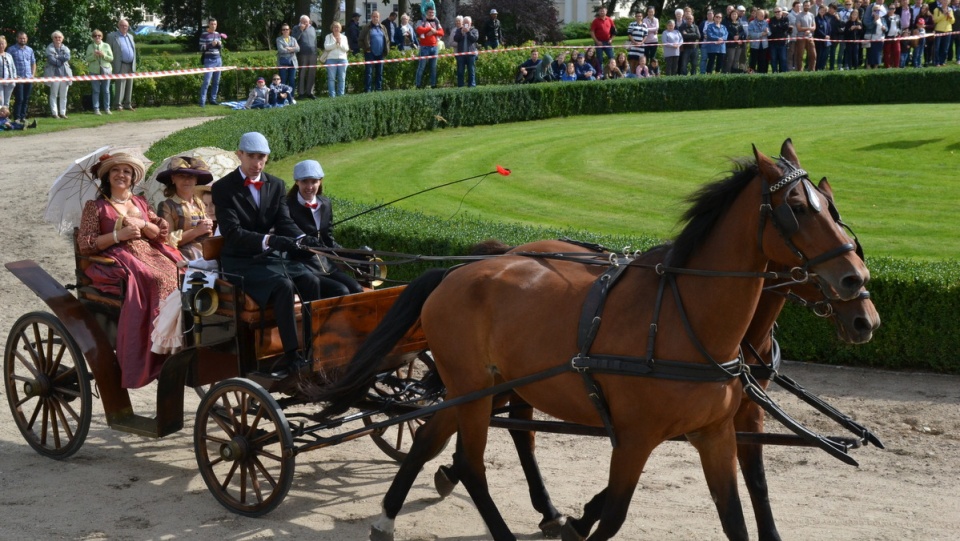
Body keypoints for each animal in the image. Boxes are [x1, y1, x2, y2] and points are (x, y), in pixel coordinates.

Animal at [316, 141, 872, 536]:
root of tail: (453, 272)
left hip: (477, 385)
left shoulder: (719, 431)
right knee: (472, 463)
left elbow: (739, 510)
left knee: (434, 436)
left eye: (833, 209)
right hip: (474, 388)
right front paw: (582, 519)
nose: (859, 288)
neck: (685, 321)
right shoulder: (634, 437)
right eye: (798, 208)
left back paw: (390, 515)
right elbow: (614, 514)